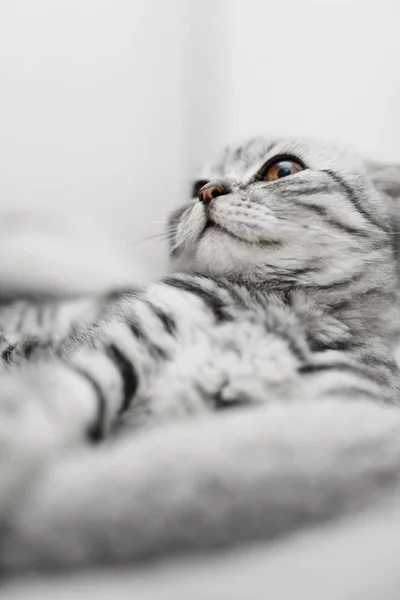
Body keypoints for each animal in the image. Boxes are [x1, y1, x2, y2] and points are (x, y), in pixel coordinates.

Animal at [0, 136, 400, 572]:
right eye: (196, 187)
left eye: (283, 169)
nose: (208, 192)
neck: (272, 304)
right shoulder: (115, 349)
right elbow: (38, 410)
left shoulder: (313, 407)